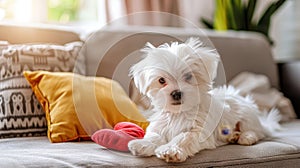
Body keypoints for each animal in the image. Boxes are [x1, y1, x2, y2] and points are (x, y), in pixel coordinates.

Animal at [127, 37, 282, 162]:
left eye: (189, 76)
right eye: (161, 80)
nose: (176, 93)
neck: (179, 113)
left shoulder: (199, 130)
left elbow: (184, 137)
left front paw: (170, 150)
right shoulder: (160, 126)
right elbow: (155, 136)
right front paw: (142, 144)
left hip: (247, 115)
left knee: (256, 131)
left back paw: (245, 137)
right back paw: (233, 136)